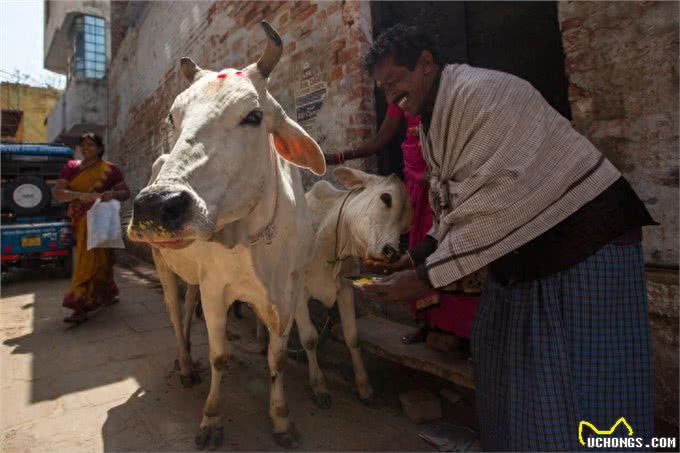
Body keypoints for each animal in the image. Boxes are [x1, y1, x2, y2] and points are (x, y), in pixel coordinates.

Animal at [131, 22, 330, 448]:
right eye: (173, 118)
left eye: (254, 115)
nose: (157, 205)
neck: (254, 240)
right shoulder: (216, 289)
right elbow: (219, 356)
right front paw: (211, 419)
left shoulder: (289, 289)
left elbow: (280, 354)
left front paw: (281, 418)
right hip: (162, 263)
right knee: (174, 313)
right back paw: (186, 366)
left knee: (188, 306)